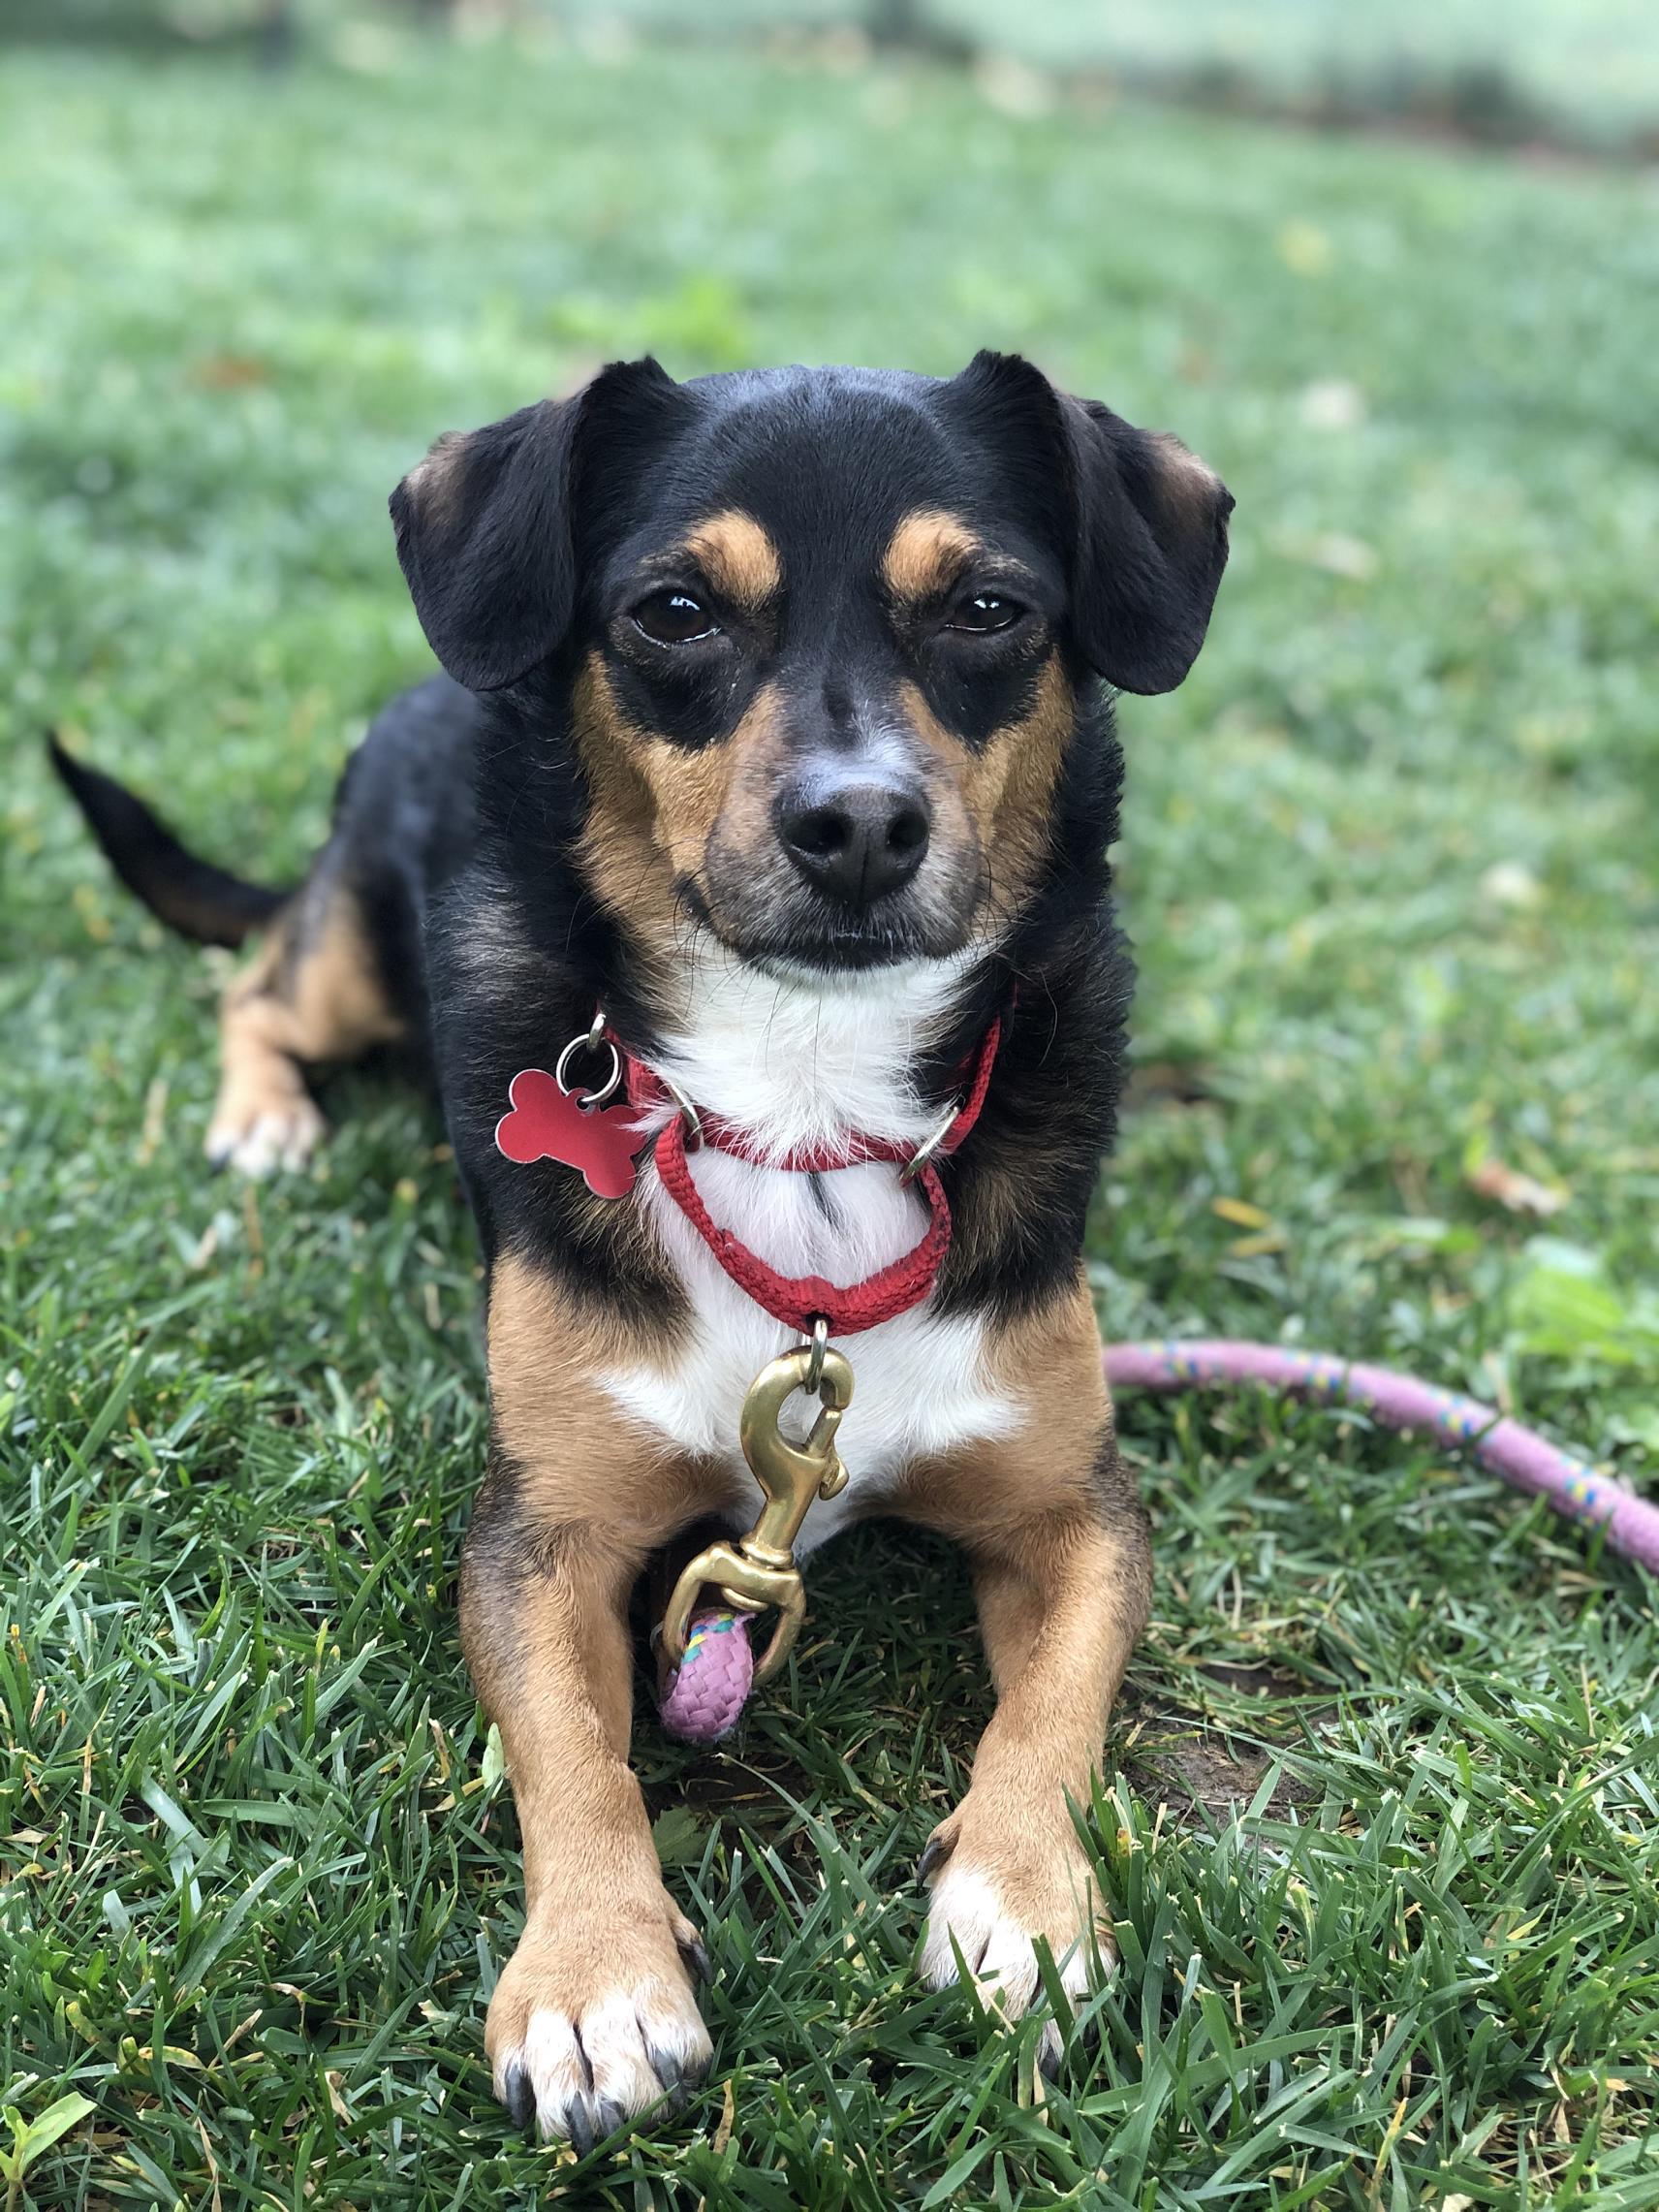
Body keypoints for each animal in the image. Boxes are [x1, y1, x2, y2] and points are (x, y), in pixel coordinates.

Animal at [55, 354, 1238, 2150]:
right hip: (356, 950)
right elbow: (572, 1749)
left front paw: (1023, 1905)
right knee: (256, 982)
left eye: (989, 609)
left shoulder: (1072, 1504)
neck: (802, 1112)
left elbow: (1059, 1714)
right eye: (674, 610)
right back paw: (264, 1120)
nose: (860, 823)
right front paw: (596, 1972)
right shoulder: (540, 1523)